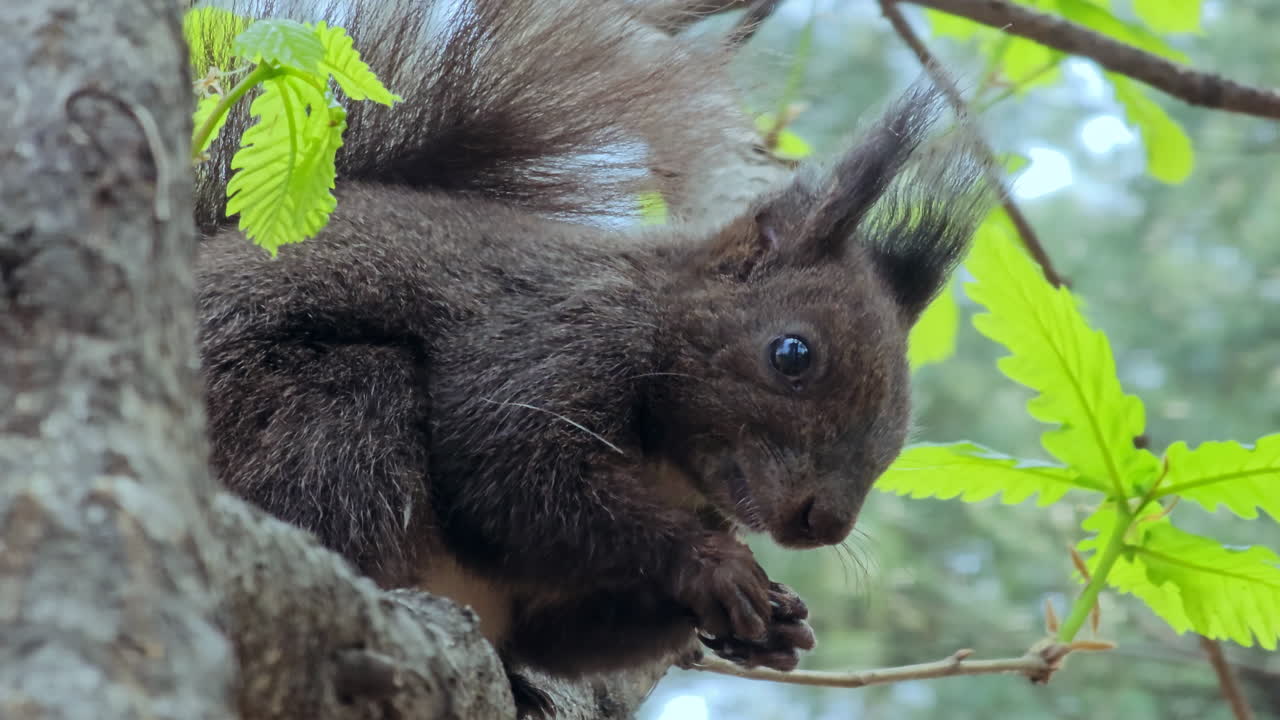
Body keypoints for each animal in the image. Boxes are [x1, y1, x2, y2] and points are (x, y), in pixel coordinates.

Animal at [192, 0, 990, 715]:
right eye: (792, 353)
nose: (822, 523)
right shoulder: (547, 339)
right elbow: (515, 479)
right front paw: (707, 562)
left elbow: (567, 630)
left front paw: (773, 626)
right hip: (310, 414)